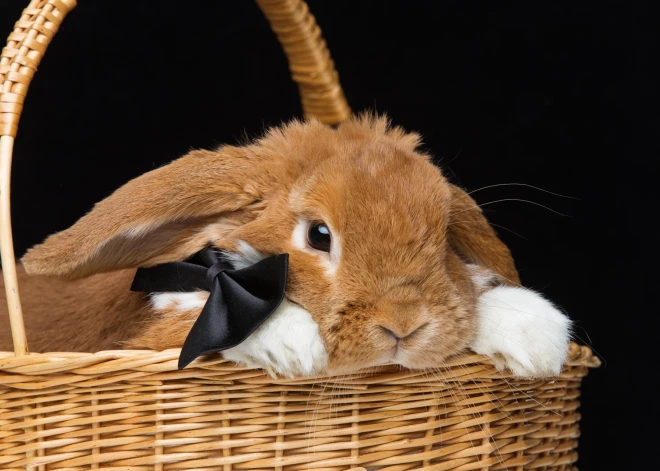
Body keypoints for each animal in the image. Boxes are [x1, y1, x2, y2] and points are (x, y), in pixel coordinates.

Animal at [0, 114, 568, 380]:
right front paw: (294, 347)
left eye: (446, 234)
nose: (404, 325)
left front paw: (538, 335)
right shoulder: (143, 337)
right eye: (319, 235)